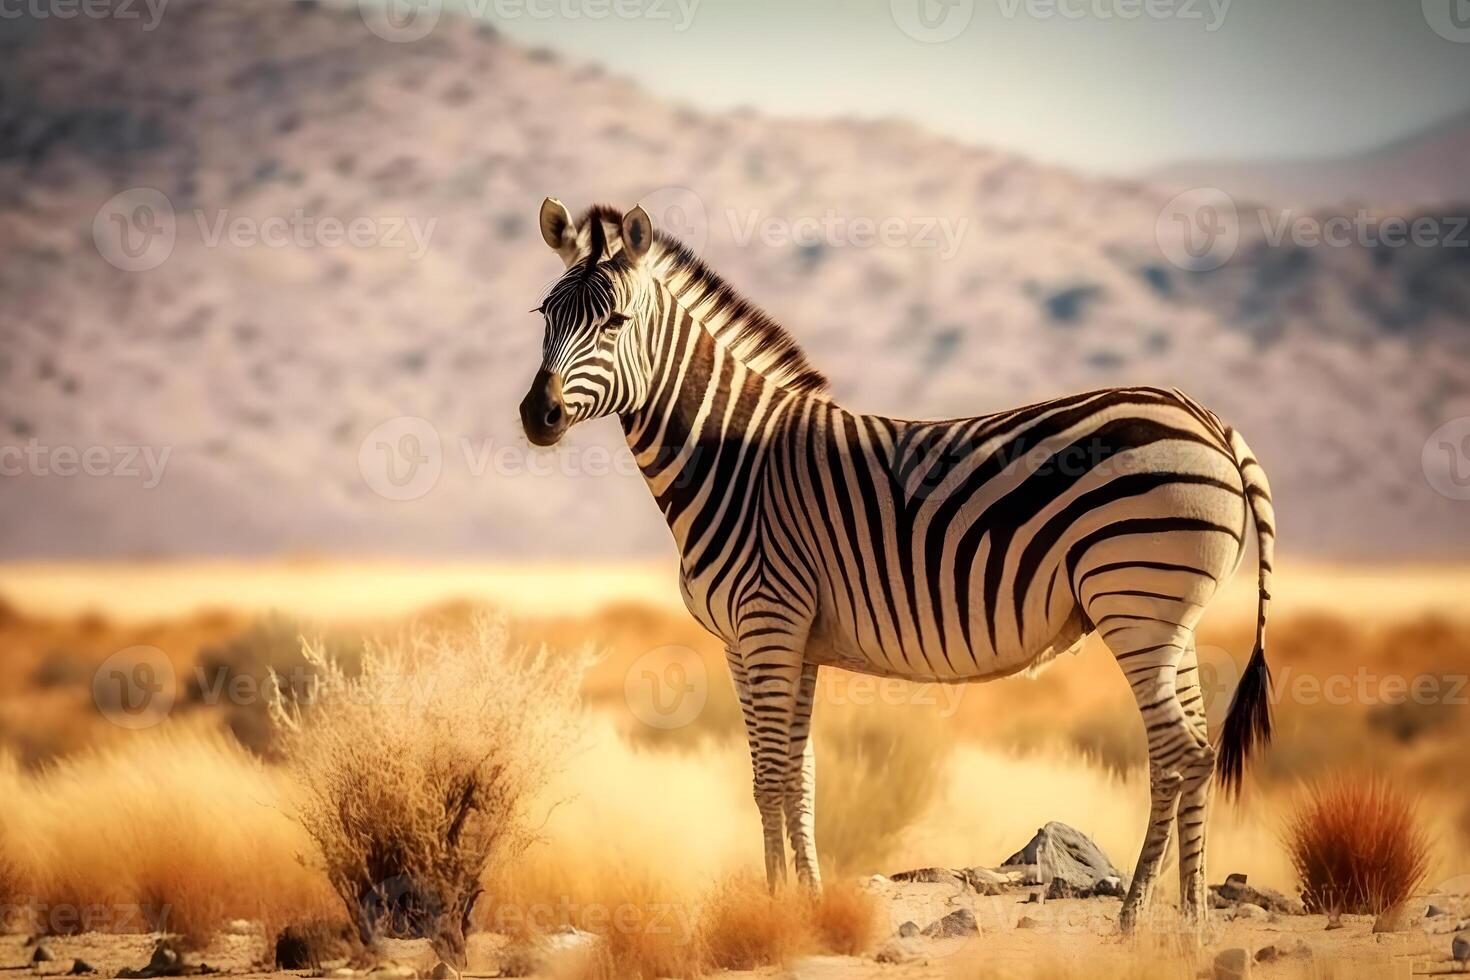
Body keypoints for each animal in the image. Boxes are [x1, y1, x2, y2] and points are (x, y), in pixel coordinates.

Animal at [520, 199, 1275, 928]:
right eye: (545, 315)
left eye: (615, 321)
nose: (536, 415)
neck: (731, 458)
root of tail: (1210, 420)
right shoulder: (777, 641)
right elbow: (796, 776)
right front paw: (807, 901)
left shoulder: (766, 623)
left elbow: (771, 774)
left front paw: (774, 909)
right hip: (1173, 620)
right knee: (1199, 752)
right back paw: (1192, 918)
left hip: (1135, 606)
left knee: (1179, 753)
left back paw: (1137, 914)